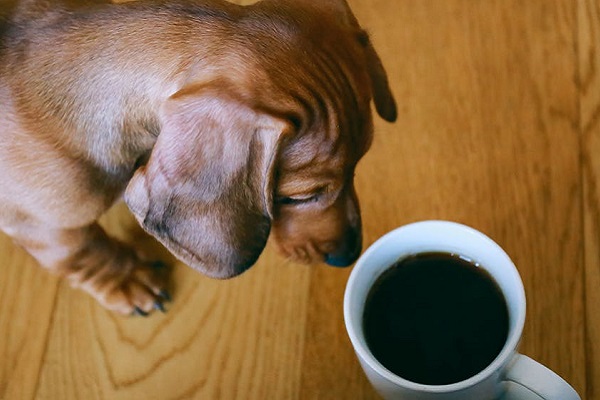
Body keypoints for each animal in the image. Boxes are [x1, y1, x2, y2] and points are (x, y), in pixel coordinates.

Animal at [0, 0, 396, 316]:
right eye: (297, 197)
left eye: (360, 164)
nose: (348, 256)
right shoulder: (44, 224)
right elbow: (84, 252)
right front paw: (127, 280)